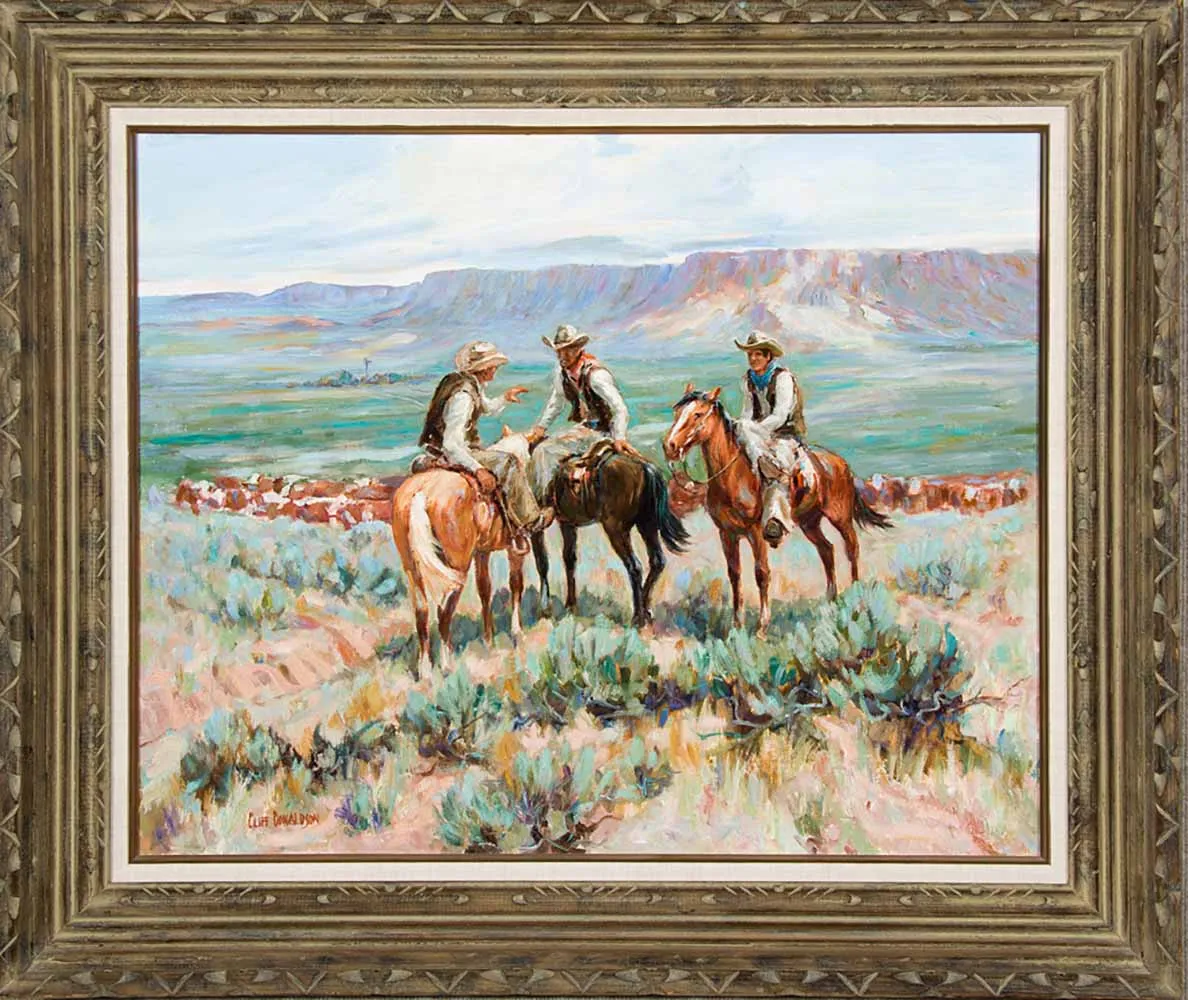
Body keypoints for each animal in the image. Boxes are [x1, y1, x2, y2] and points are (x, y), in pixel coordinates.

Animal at [390, 435, 531, 678]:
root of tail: (421, 493)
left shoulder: (481, 552)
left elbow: (484, 590)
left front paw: (489, 640)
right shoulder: (514, 550)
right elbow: (515, 585)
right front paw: (516, 632)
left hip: (411, 568)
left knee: (422, 612)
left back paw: (425, 671)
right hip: (457, 565)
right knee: (444, 611)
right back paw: (446, 666)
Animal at [528, 439, 690, 629]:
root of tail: (645, 467)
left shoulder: (537, 530)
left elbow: (542, 562)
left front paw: (545, 608)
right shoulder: (567, 524)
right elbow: (569, 559)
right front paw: (570, 605)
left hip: (616, 530)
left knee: (635, 566)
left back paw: (638, 617)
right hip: (647, 526)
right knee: (657, 561)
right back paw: (646, 610)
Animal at [662, 384, 891, 632]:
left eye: (697, 414)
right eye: (677, 413)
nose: (669, 446)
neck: (733, 477)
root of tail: (840, 463)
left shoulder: (756, 532)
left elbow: (761, 573)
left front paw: (762, 626)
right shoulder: (727, 533)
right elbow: (734, 574)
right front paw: (737, 624)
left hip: (840, 518)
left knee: (852, 549)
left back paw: (856, 598)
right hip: (810, 523)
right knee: (827, 550)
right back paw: (832, 600)